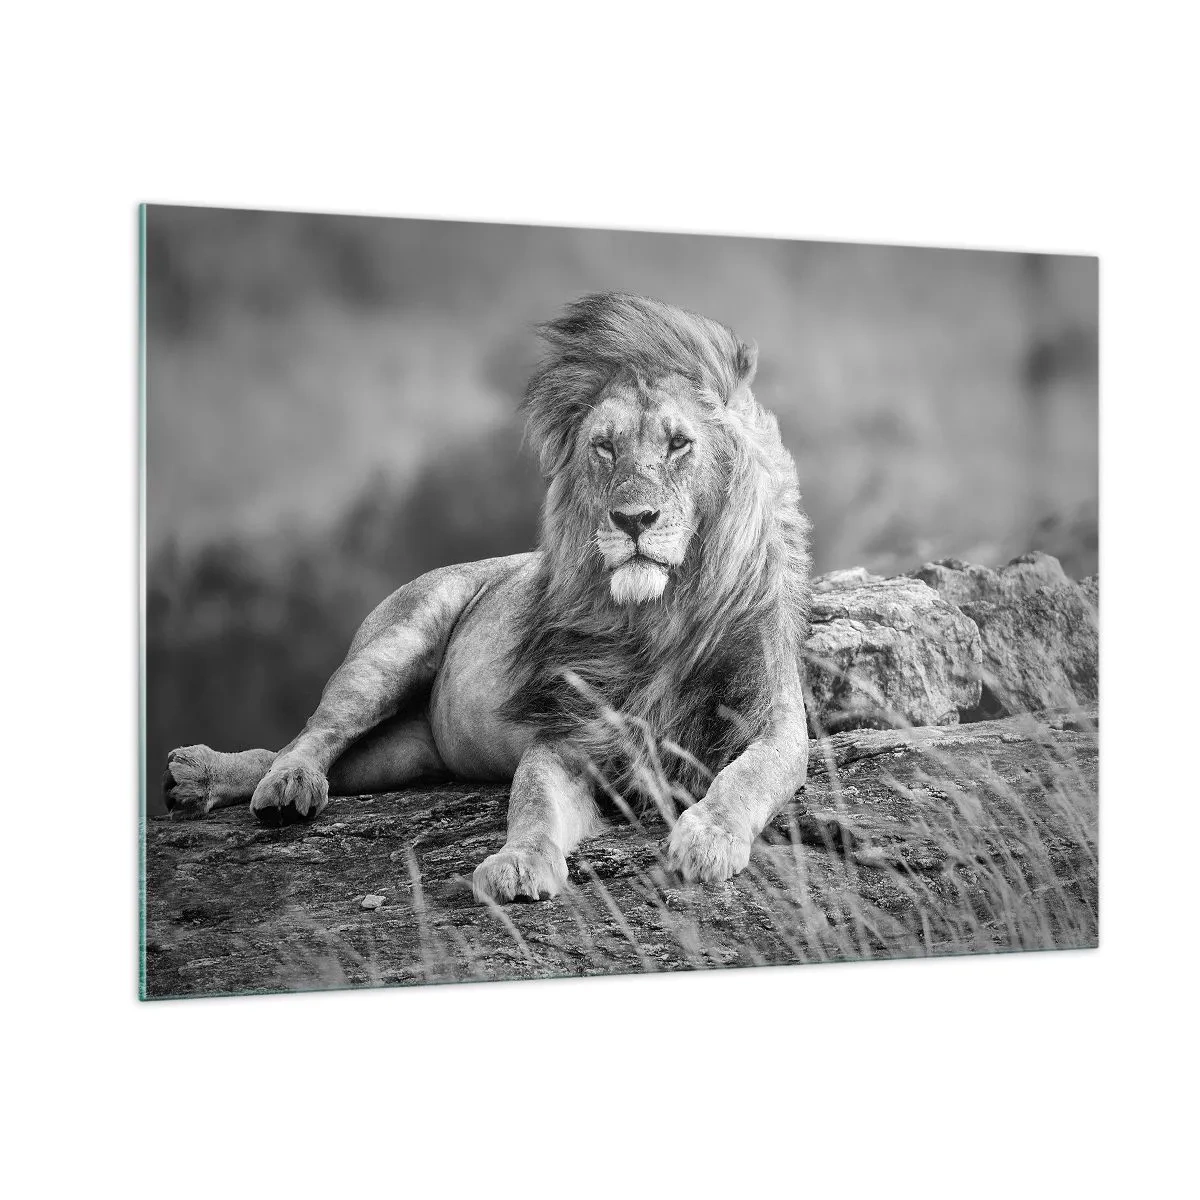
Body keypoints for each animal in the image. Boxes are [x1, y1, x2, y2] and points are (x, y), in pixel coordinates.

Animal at [163, 292, 813, 903]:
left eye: (679, 443)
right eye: (604, 447)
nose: (633, 520)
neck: (660, 617)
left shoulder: (775, 722)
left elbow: (748, 778)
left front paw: (707, 839)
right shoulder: (566, 737)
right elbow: (532, 804)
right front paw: (518, 864)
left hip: (402, 754)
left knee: (318, 757)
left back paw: (202, 780)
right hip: (392, 647)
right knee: (309, 736)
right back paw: (266, 784)